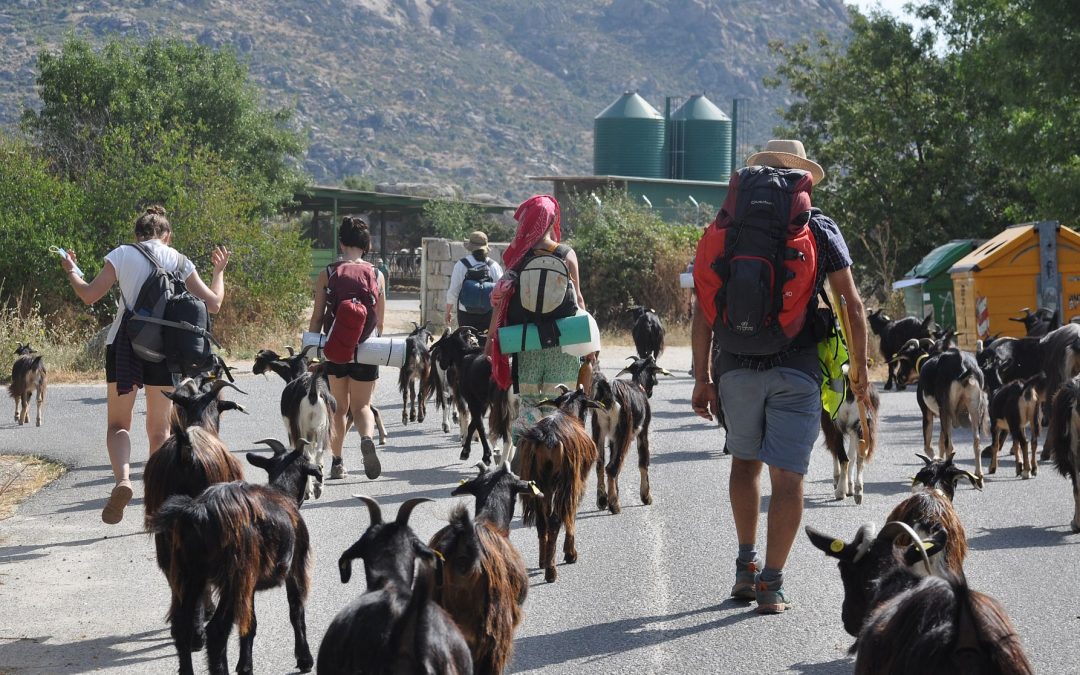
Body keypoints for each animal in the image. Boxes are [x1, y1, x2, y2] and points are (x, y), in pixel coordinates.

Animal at [152, 440, 319, 669]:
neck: (282, 493)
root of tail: (198, 512)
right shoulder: (295, 567)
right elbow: (296, 611)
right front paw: (305, 659)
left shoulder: (251, 584)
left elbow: (249, 623)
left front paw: (245, 666)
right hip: (233, 577)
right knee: (217, 631)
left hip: (190, 574)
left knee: (182, 627)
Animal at [516, 388, 600, 583]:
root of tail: (547, 437)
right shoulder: (578, 483)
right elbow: (571, 515)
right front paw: (570, 554)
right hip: (566, 483)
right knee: (556, 519)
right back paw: (551, 571)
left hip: (539, 483)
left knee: (542, 520)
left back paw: (544, 561)